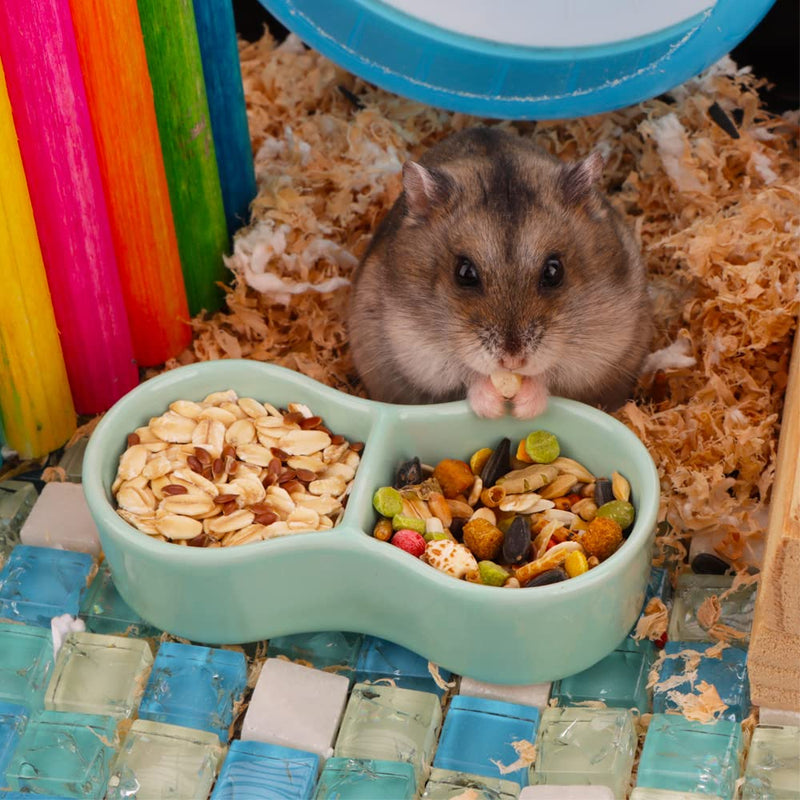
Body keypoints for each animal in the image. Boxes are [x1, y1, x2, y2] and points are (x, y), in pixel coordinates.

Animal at [347, 127, 652, 418]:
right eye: (464, 273)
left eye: (554, 271)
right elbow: (464, 375)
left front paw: (524, 407)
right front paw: (492, 407)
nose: (512, 361)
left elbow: (552, 375)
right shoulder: (417, 348)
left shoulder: (599, 348)